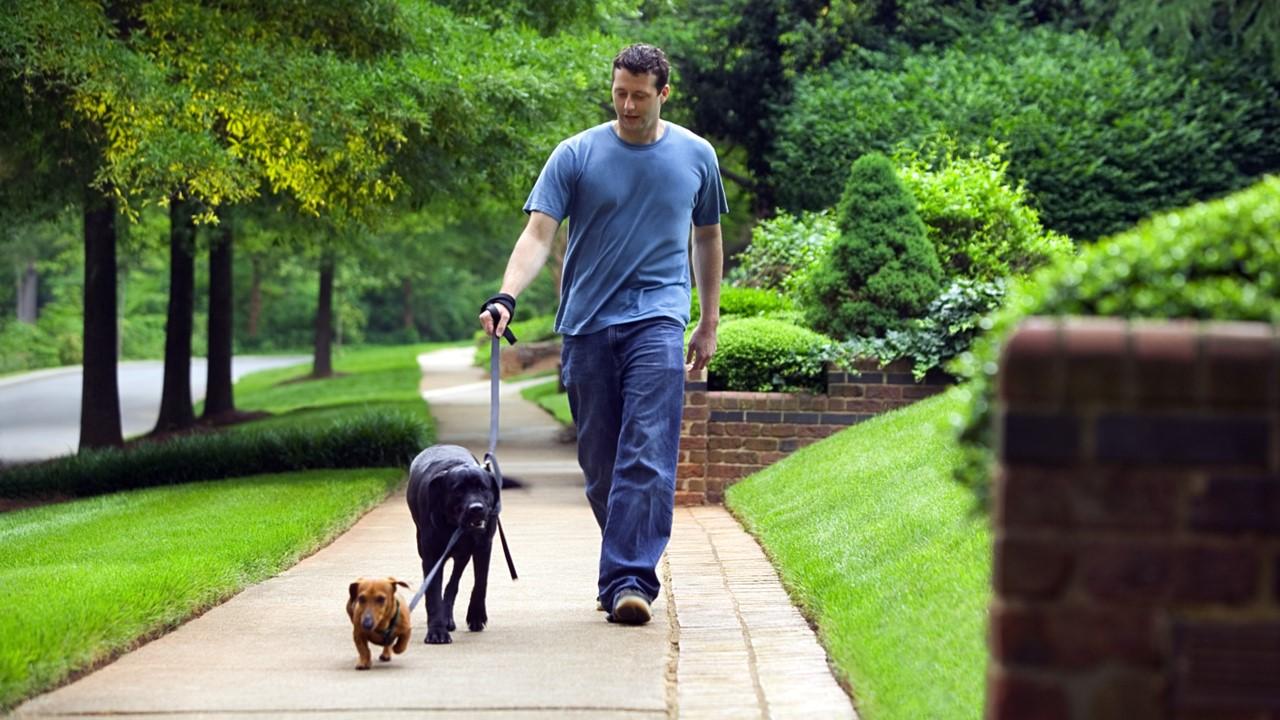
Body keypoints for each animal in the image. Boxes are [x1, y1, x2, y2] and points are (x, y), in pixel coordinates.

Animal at [407, 445, 501, 640]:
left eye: (483, 488)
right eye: (458, 490)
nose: (476, 508)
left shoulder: (484, 546)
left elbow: (481, 582)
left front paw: (476, 616)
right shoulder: (432, 555)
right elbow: (433, 593)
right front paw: (436, 631)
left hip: (463, 555)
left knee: (453, 583)